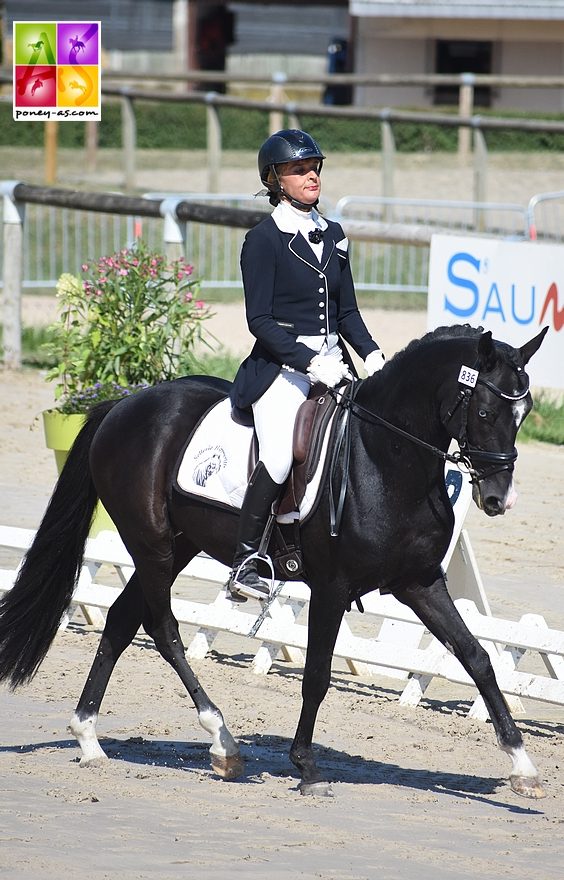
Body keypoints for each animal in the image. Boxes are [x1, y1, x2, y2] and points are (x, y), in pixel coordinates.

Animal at [0, 324, 548, 796]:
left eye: (523, 415)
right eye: (485, 413)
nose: (499, 499)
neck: (385, 457)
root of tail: (124, 404)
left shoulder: (420, 582)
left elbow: (477, 657)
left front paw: (522, 764)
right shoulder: (332, 587)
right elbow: (318, 676)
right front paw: (306, 767)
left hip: (179, 545)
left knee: (119, 619)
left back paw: (89, 737)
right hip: (152, 544)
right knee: (163, 627)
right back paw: (221, 742)